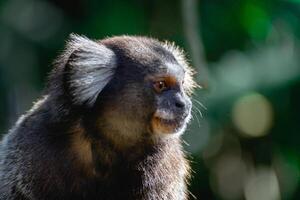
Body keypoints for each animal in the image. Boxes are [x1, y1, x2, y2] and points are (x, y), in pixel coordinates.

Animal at [0, 34, 197, 200]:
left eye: (181, 85)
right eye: (161, 85)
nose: (184, 104)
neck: (104, 145)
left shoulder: (165, 168)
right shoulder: (31, 146)